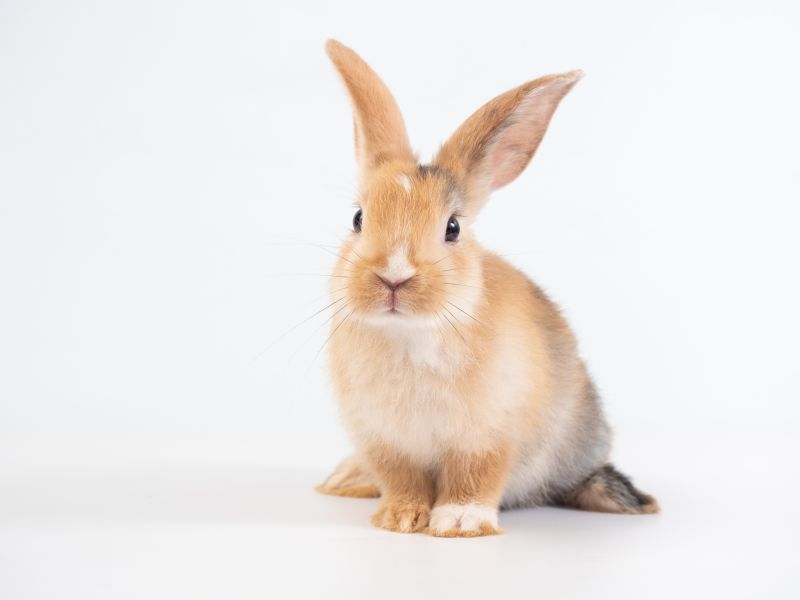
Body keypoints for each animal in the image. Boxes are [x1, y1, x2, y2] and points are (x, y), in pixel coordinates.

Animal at [315, 40, 658, 537]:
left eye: (453, 228)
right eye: (359, 219)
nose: (394, 277)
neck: (410, 335)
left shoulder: (487, 437)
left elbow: (475, 477)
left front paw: (459, 523)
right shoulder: (385, 441)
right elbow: (401, 479)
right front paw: (398, 519)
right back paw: (345, 479)